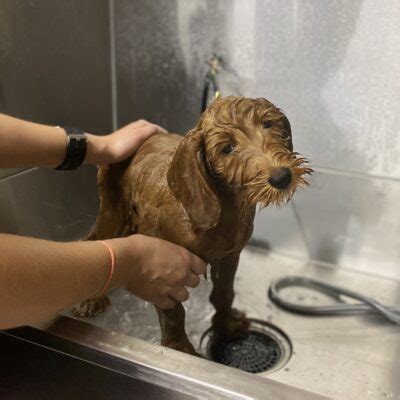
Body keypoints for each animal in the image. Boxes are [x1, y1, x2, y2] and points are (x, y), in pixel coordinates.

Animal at [73, 97, 310, 356]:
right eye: (227, 149)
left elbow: (224, 294)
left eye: (268, 124)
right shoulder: (164, 266)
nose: (281, 177)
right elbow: (172, 310)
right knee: (94, 240)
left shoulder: (230, 256)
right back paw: (90, 300)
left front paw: (226, 325)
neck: (226, 208)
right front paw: (179, 347)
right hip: (113, 211)